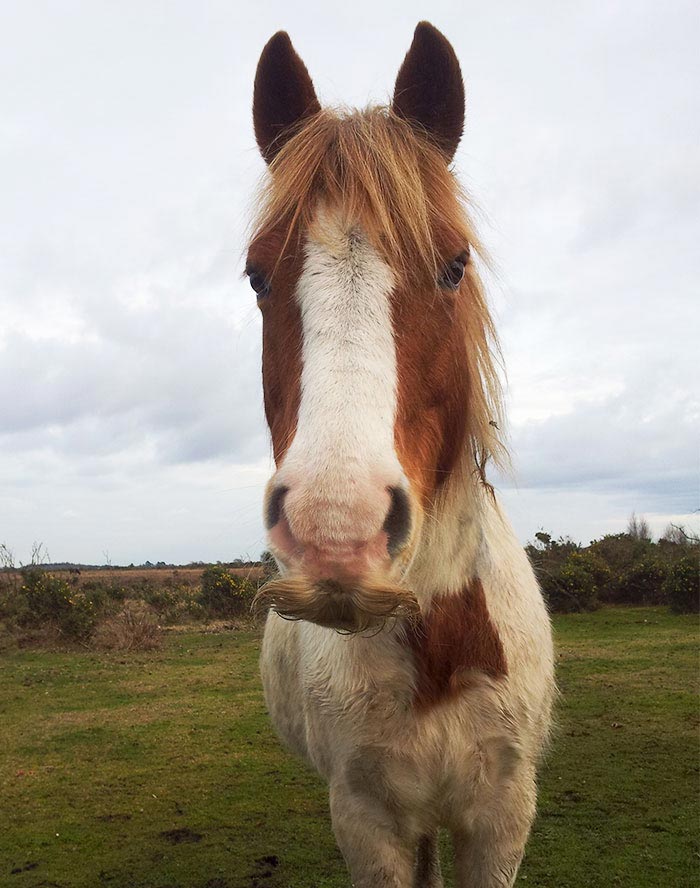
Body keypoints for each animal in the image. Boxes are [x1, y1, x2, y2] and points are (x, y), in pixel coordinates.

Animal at [243, 20, 556, 888]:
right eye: (255, 276)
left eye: (453, 266)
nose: (336, 531)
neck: (439, 645)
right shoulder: (368, 819)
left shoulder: (501, 819)